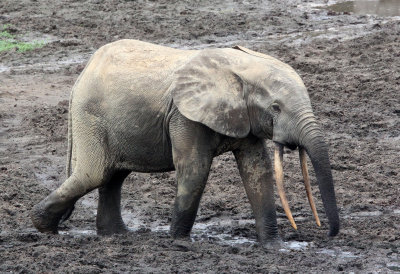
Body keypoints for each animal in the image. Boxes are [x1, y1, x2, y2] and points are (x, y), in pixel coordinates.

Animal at [29, 39, 340, 246]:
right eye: (276, 108)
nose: (327, 233)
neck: (240, 67)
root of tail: (81, 75)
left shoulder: (244, 118)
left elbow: (257, 171)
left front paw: (274, 247)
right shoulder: (184, 116)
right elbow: (195, 169)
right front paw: (179, 242)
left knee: (112, 176)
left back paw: (116, 235)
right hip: (91, 116)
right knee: (94, 174)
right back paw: (44, 228)